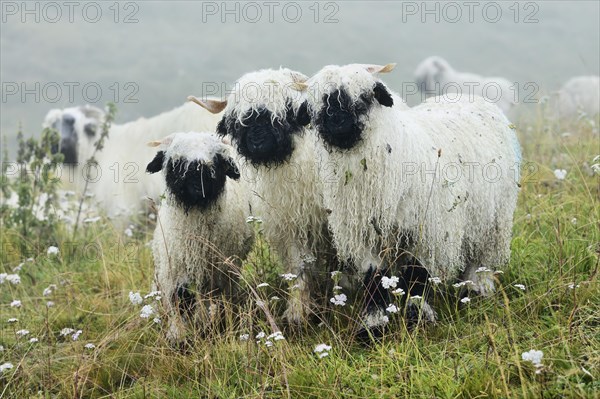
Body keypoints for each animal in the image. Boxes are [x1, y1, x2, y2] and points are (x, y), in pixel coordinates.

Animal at [149, 130, 256, 340]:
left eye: (215, 162)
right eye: (177, 162)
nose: (199, 187)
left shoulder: (216, 274)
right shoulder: (175, 270)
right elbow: (178, 301)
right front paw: (177, 335)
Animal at [188, 69, 338, 324]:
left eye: (286, 109)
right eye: (238, 120)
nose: (257, 140)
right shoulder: (293, 226)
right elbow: (299, 266)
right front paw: (298, 312)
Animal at [304, 65, 520, 334]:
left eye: (365, 98)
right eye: (322, 102)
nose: (337, 121)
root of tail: (471, 96)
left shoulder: (427, 231)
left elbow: (418, 274)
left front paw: (418, 316)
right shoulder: (365, 237)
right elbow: (374, 278)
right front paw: (373, 326)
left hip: (494, 219)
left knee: (481, 259)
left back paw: (476, 289)